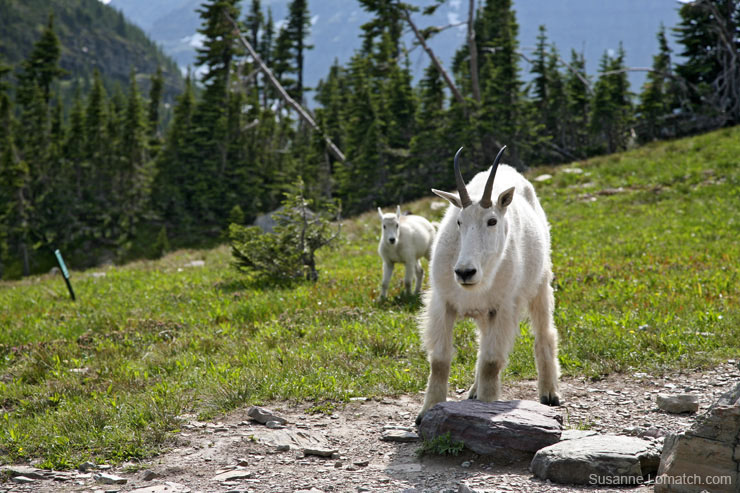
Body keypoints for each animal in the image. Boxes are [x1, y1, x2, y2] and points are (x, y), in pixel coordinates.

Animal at [416, 146, 560, 423]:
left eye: (492, 221)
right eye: (459, 222)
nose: (465, 272)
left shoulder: (503, 308)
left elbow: (492, 362)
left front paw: (484, 410)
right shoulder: (443, 303)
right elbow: (439, 361)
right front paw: (426, 411)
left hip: (540, 283)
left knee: (544, 332)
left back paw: (549, 393)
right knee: (482, 343)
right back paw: (474, 391)